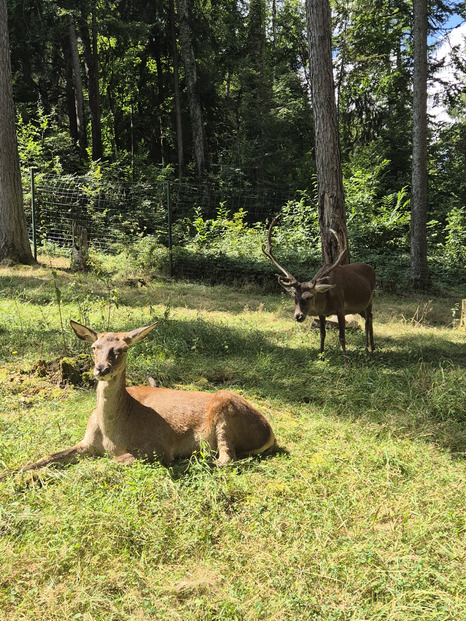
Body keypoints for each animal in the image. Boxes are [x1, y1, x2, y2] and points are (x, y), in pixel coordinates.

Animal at [0, 320, 276, 480]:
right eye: (94, 347)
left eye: (121, 350)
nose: (100, 369)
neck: (112, 433)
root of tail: (269, 433)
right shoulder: (86, 441)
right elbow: (47, 457)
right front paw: (12, 473)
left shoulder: (155, 447)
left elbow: (102, 465)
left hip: (225, 408)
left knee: (226, 459)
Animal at [262, 217, 374, 354]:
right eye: (293, 297)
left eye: (309, 297)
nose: (298, 316)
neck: (327, 301)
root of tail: (371, 268)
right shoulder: (322, 313)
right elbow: (322, 334)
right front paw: (321, 353)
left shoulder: (341, 308)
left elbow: (342, 337)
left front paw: (345, 356)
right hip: (359, 307)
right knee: (369, 318)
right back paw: (370, 347)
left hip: (370, 300)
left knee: (369, 319)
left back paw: (369, 348)